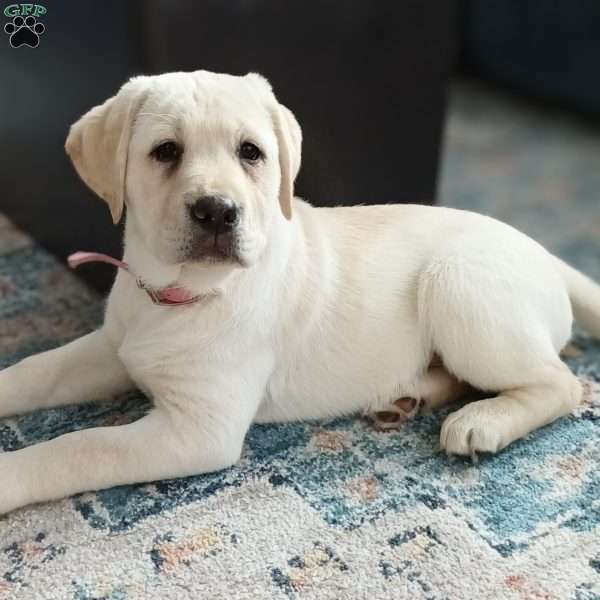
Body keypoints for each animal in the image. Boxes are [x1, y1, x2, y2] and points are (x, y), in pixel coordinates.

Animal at [1, 69, 600, 510]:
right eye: (165, 151)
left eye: (251, 152)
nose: (217, 212)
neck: (175, 294)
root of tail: (540, 249)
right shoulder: (113, 347)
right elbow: (35, 370)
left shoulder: (198, 428)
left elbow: (80, 446)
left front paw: (10, 477)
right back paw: (407, 397)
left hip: (458, 284)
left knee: (561, 384)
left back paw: (482, 422)